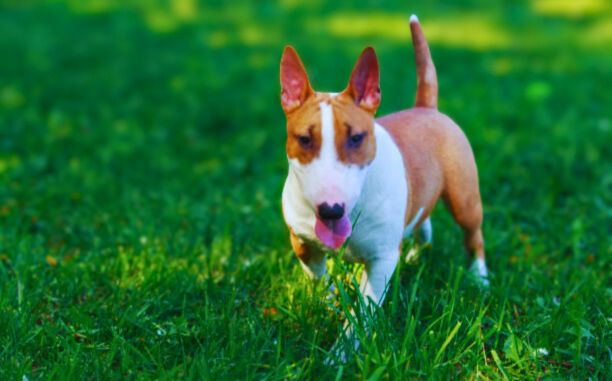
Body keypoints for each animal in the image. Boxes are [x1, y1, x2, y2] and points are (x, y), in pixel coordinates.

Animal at [278, 14, 488, 358]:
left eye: (356, 138)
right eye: (304, 139)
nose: (331, 210)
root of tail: (426, 107)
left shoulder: (380, 262)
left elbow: (363, 311)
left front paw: (340, 355)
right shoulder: (302, 242)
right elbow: (319, 278)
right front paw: (329, 304)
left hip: (464, 198)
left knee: (473, 235)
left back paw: (480, 278)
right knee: (423, 219)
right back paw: (416, 253)